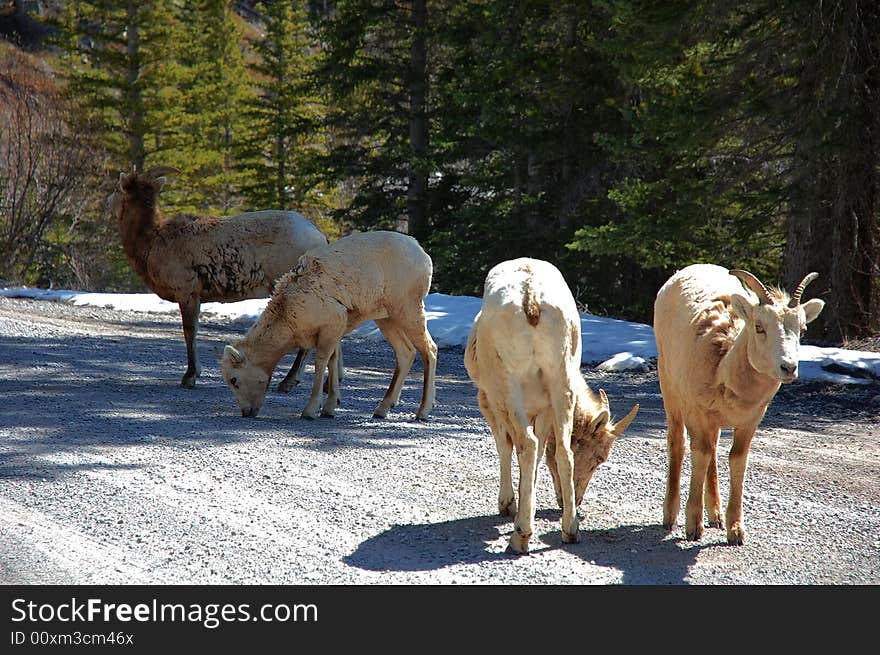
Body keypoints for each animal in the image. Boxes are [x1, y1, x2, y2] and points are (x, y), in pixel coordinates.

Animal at [108, 167, 328, 390]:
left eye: (117, 188)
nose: (108, 202)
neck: (152, 242)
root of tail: (320, 237)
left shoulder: (187, 292)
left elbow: (190, 332)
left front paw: (190, 377)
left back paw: (288, 382)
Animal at [217, 232, 436, 420]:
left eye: (234, 379)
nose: (246, 412)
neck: (288, 318)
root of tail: (424, 256)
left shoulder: (333, 322)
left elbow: (321, 361)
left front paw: (311, 410)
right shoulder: (335, 329)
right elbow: (333, 360)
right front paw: (329, 407)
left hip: (408, 308)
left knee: (430, 350)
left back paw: (423, 411)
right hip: (386, 317)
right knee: (406, 352)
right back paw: (382, 409)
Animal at [464, 258, 636, 552]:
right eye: (599, 458)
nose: (575, 500)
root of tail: (531, 300)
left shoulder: (490, 401)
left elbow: (507, 446)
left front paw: (508, 505)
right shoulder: (544, 409)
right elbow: (543, 450)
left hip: (508, 386)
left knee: (527, 443)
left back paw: (520, 536)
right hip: (560, 380)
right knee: (562, 452)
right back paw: (570, 530)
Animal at [652, 264, 824, 544]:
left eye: (802, 330)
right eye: (759, 326)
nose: (788, 367)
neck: (723, 368)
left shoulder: (749, 421)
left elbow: (736, 460)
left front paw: (735, 531)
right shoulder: (698, 413)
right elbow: (699, 455)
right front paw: (693, 528)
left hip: (712, 422)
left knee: (712, 449)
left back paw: (716, 516)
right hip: (670, 391)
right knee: (678, 444)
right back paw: (671, 517)